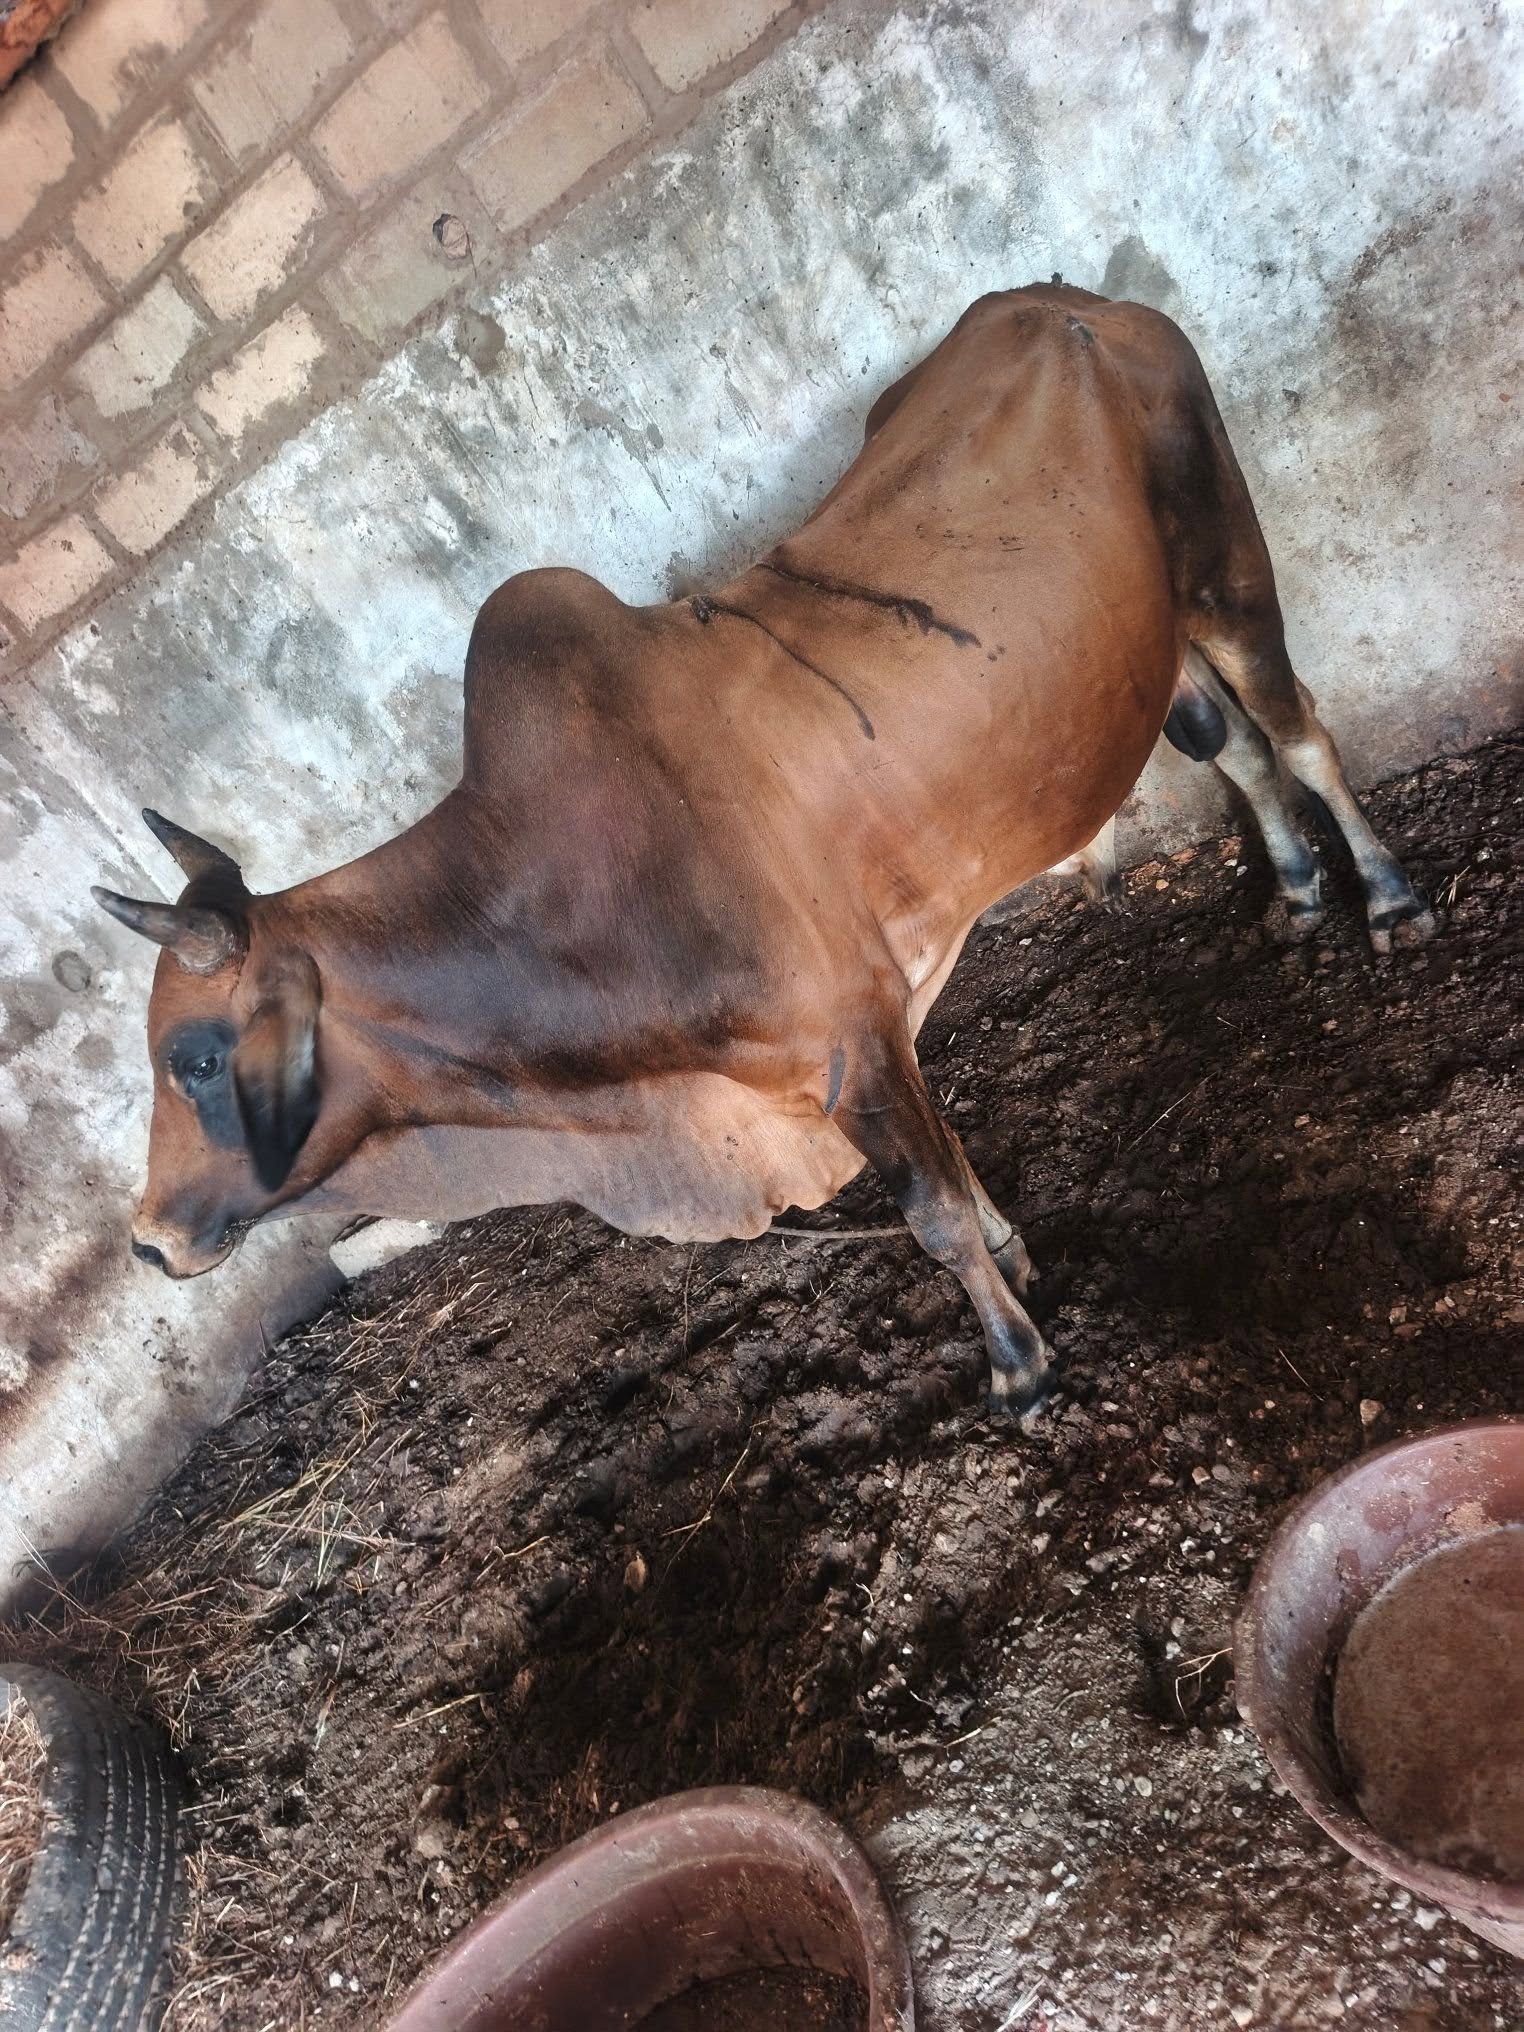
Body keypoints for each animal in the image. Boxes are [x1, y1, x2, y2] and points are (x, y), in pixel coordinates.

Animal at [95, 285, 1432, 1419]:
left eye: (195, 1057)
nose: (149, 1238)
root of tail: (1072, 302)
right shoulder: (871, 1037)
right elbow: (957, 1169)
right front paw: (1020, 1263)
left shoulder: (851, 1040)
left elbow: (931, 1211)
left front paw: (1018, 1366)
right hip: (1145, 649)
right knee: (1228, 743)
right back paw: (1296, 893)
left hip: (1226, 557)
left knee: (1300, 733)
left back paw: (1388, 899)